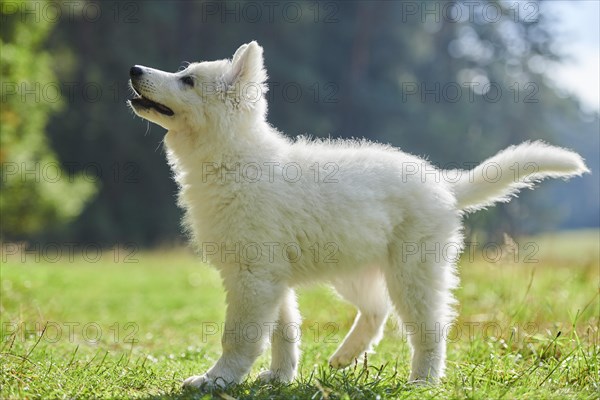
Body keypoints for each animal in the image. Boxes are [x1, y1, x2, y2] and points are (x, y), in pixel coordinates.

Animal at [127, 42, 592, 390]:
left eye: (187, 80)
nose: (133, 68)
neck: (234, 160)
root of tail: (445, 184)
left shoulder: (252, 276)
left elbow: (239, 336)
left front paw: (217, 380)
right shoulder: (271, 278)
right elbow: (283, 332)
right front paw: (278, 377)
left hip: (414, 271)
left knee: (429, 328)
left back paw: (422, 382)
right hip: (353, 268)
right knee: (377, 311)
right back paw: (345, 358)